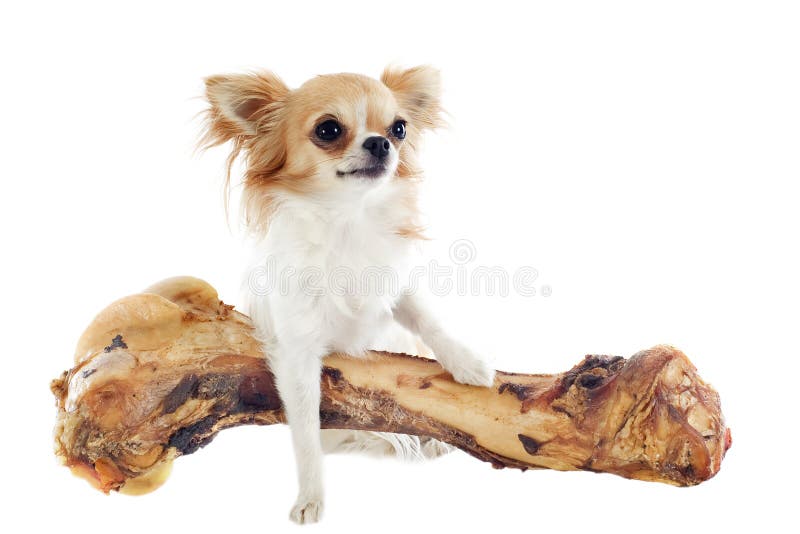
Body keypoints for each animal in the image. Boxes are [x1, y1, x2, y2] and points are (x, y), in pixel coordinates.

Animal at [200, 65, 494, 524]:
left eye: (399, 128)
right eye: (328, 129)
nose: (381, 142)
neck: (346, 220)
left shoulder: (394, 288)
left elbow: (429, 322)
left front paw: (466, 362)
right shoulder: (297, 352)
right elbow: (306, 430)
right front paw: (310, 496)